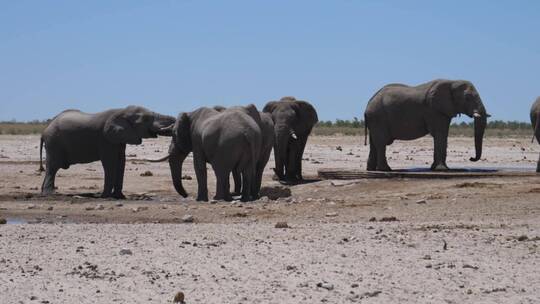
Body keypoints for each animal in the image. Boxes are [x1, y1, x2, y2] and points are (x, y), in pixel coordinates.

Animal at [40, 105, 175, 198]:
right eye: (146, 119)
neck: (121, 111)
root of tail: (44, 130)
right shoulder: (105, 139)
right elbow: (110, 163)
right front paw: (105, 196)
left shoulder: (119, 139)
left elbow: (121, 162)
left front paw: (120, 197)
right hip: (54, 143)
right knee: (53, 167)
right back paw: (50, 194)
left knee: (51, 168)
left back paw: (44, 192)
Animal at [364, 79, 492, 171]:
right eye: (467, 97)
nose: (471, 158)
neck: (452, 81)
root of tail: (368, 104)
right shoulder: (434, 110)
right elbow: (440, 134)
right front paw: (442, 169)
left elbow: (442, 135)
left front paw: (435, 168)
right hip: (378, 117)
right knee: (381, 142)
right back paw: (386, 169)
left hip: (375, 120)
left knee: (374, 143)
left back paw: (371, 169)